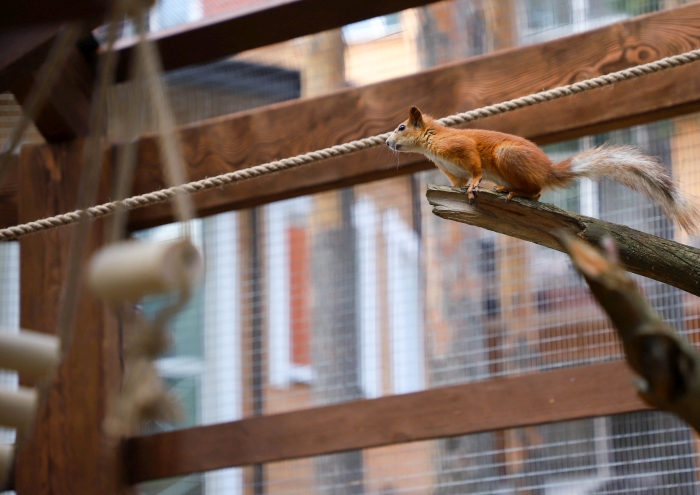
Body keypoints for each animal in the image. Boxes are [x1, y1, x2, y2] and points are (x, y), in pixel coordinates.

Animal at [388, 104, 700, 234]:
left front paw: (476, 184)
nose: (389, 142)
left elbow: (475, 167)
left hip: (507, 156)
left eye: (402, 127)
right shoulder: (451, 171)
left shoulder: (461, 147)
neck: (431, 143)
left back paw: (514, 192)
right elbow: (456, 182)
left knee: (537, 192)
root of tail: (548, 169)